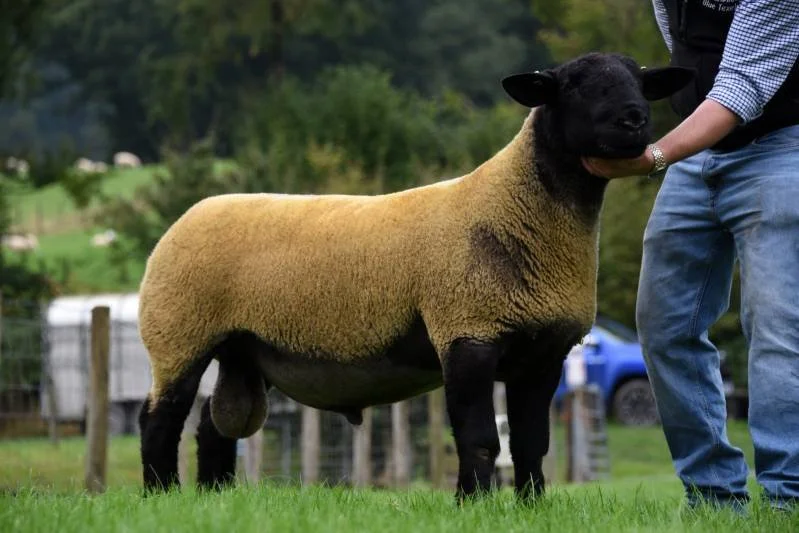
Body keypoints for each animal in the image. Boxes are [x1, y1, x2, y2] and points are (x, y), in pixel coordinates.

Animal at [137, 52, 693, 499]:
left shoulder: (543, 352)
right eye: (574, 85)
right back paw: (160, 495)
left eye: (639, 81)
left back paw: (213, 498)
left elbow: (531, 443)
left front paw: (532, 507)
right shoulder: (467, 331)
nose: (634, 119)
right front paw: (474, 505)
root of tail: (191, 213)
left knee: (213, 427)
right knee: (159, 419)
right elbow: (479, 439)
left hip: (240, 349)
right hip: (179, 333)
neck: (511, 209)